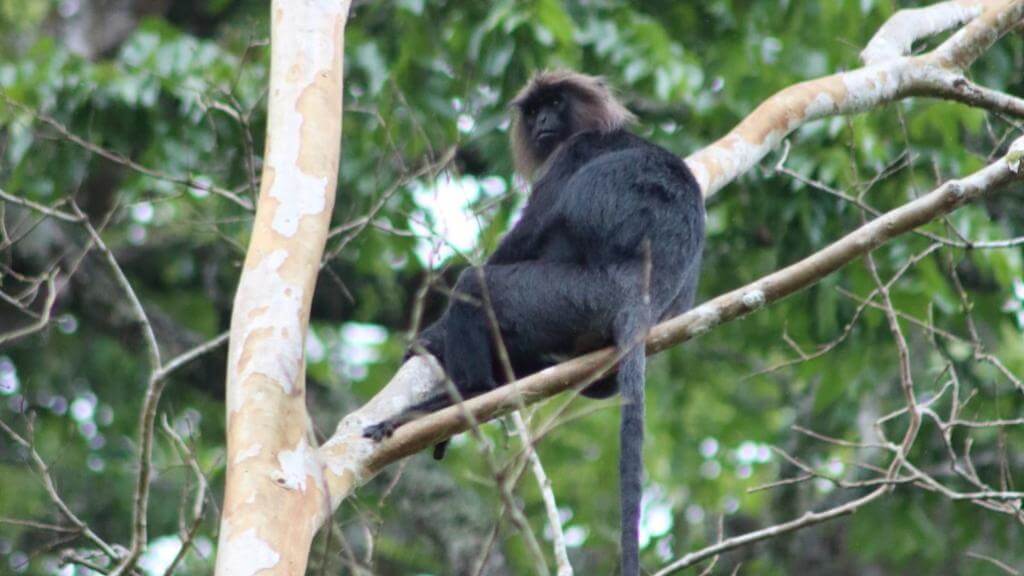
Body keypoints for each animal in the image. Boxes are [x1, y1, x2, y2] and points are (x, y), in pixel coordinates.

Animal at [364, 68, 708, 573]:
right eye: (533, 110)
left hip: (567, 297)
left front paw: (429, 339)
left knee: (477, 283)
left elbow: (523, 237)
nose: (543, 120)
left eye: (556, 103)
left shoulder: (571, 154)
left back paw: (463, 394)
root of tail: (641, 293)